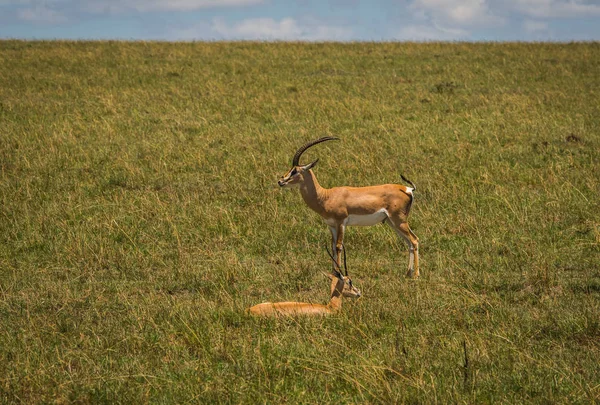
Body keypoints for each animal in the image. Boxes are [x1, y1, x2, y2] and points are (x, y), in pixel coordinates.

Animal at [278, 136, 422, 278]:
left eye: (295, 171)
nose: (280, 181)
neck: (326, 196)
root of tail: (408, 189)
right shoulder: (331, 225)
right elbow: (332, 246)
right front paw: (333, 273)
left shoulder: (341, 222)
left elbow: (338, 246)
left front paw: (339, 273)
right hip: (392, 222)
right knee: (408, 242)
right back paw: (407, 273)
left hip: (399, 221)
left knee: (414, 240)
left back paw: (416, 275)